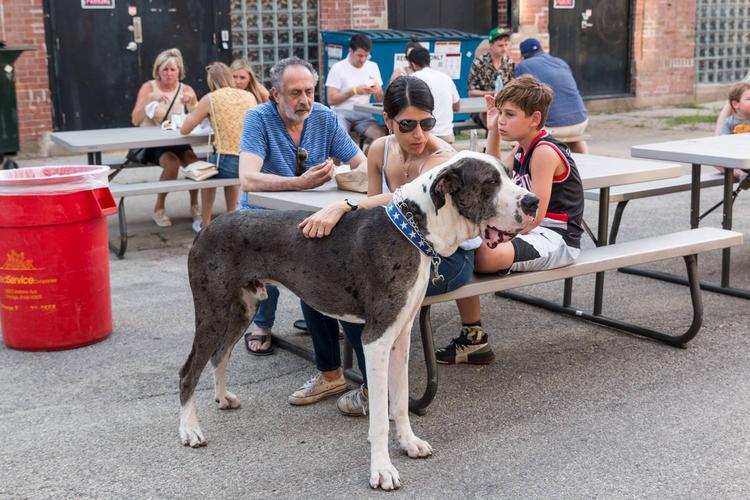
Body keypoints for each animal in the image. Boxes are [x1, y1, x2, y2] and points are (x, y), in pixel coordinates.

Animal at [179, 150, 536, 490]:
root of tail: (209, 226)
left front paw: (408, 443)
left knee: (220, 355)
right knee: (189, 371)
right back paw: (189, 431)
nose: (533, 202)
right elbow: (379, 416)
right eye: (490, 182)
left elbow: (400, 401)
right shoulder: (376, 340)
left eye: (508, 173)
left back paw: (222, 398)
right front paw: (382, 470)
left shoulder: (400, 337)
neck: (412, 230)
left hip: (244, 308)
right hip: (212, 312)